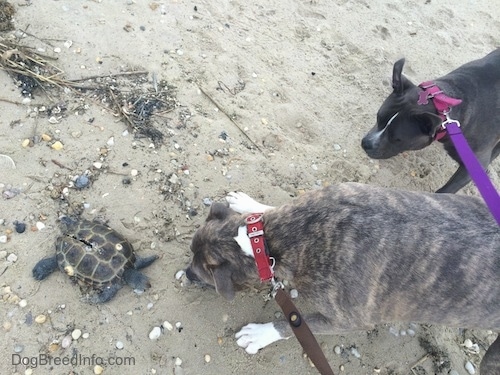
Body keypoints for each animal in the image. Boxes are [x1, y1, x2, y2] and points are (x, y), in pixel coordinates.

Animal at [186, 184, 500, 374]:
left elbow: (293, 322)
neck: (265, 243)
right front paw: (249, 204)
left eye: (200, 273)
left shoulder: (346, 320)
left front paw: (261, 334)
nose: (187, 273)